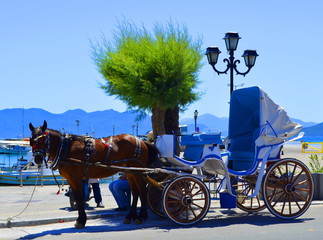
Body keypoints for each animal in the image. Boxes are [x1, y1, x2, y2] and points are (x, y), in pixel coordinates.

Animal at [29, 120, 159, 229]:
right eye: (31, 140)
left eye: (42, 140)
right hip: (130, 172)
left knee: (142, 191)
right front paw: (80, 220)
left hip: (138, 171)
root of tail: (141, 140)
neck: (65, 148)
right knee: (135, 192)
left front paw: (81, 221)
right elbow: (78, 198)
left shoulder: (75, 178)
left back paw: (141, 217)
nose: (38, 159)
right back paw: (129, 216)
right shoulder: (71, 180)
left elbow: (79, 198)